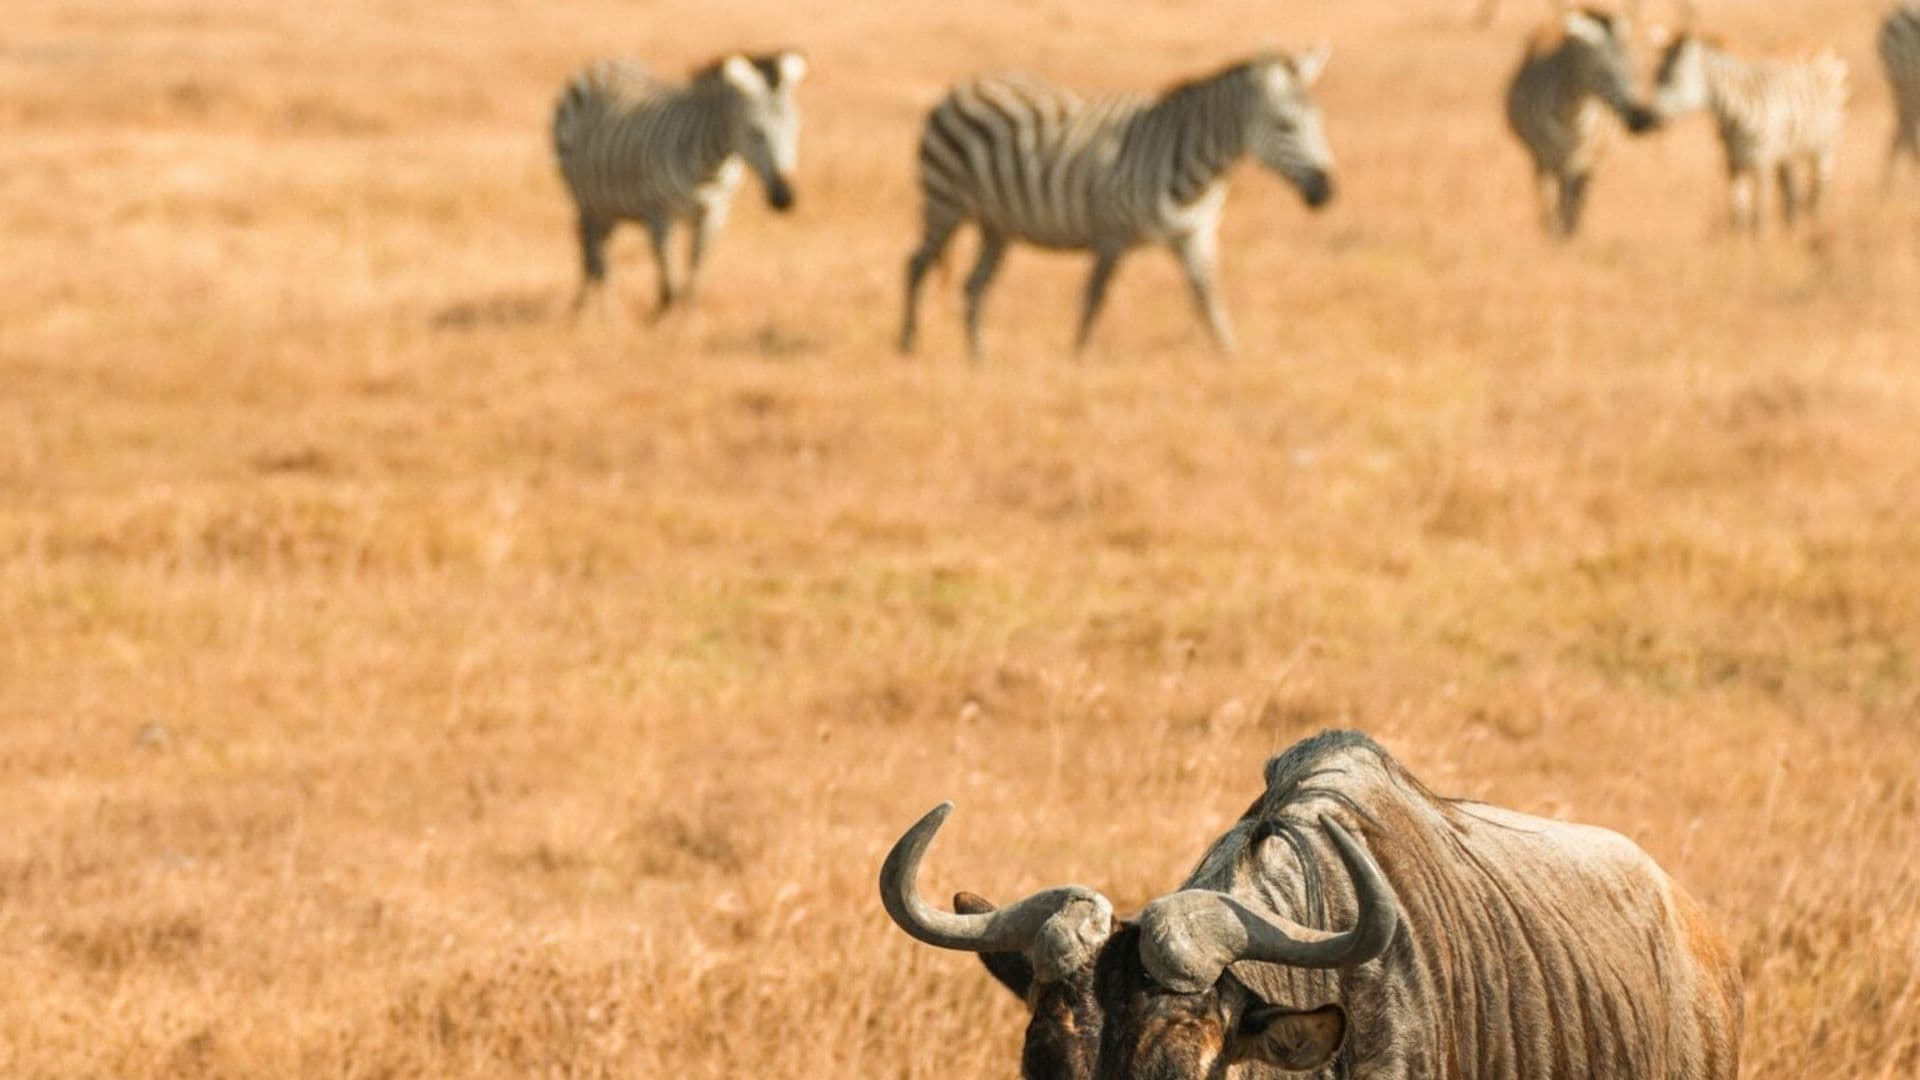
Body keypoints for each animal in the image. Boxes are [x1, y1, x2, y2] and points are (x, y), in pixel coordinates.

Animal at [552, 51, 806, 318]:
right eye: (755, 132)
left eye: (795, 129)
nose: (785, 198)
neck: (711, 168)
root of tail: (605, 65)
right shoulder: (659, 212)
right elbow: (668, 282)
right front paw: (662, 318)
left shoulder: (714, 214)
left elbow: (695, 270)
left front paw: (688, 316)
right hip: (585, 198)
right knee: (593, 254)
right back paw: (601, 312)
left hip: (608, 207)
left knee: (596, 252)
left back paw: (588, 308)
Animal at [898, 51, 1336, 359]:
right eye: (1285, 125)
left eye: (1318, 121)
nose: (1328, 191)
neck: (1195, 167)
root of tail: (960, 88)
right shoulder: (1111, 232)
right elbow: (1095, 299)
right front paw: (1079, 357)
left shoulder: (1196, 236)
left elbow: (1209, 302)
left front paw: (1231, 358)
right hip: (944, 201)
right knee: (917, 265)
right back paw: (907, 345)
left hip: (998, 224)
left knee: (974, 286)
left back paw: (979, 358)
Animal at [1504, 8, 1658, 238]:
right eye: (1602, 71)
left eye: (1635, 70)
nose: (1638, 117)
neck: (1574, 117)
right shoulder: (1548, 155)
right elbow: (1555, 198)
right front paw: (1556, 238)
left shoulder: (1589, 157)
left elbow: (1576, 199)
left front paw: (1571, 236)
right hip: (1543, 157)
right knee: (1549, 192)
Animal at [1648, 32, 1848, 233]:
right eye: (1656, 75)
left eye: (1672, 77)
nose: (1650, 118)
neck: (1732, 116)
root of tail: (1822, 45)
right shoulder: (1733, 161)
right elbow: (1739, 208)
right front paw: (1742, 241)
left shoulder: (1763, 162)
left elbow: (1760, 210)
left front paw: (1762, 240)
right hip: (1786, 154)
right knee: (1792, 192)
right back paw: (1792, 231)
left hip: (1825, 145)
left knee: (1819, 190)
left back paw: (1815, 227)